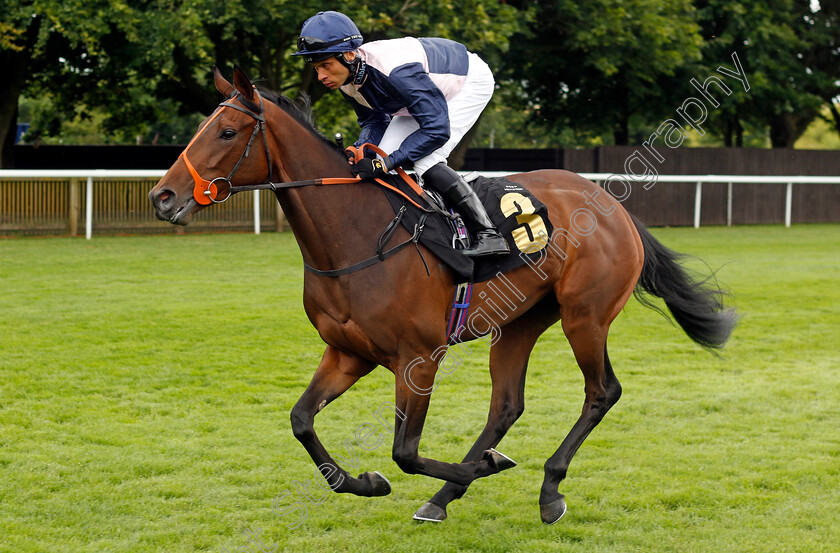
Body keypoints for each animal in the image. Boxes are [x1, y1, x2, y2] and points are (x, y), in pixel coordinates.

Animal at [149, 67, 736, 524]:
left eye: (227, 131)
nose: (163, 196)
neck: (354, 237)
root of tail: (612, 204)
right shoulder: (347, 352)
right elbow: (301, 421)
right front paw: (366, 482)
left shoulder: (420, 357)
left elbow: (405, 451)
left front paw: (482, 466)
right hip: (519, 323)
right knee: (507, 404)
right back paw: (445, 496)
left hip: (584, 317)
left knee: (601, 392)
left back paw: (548, 489)